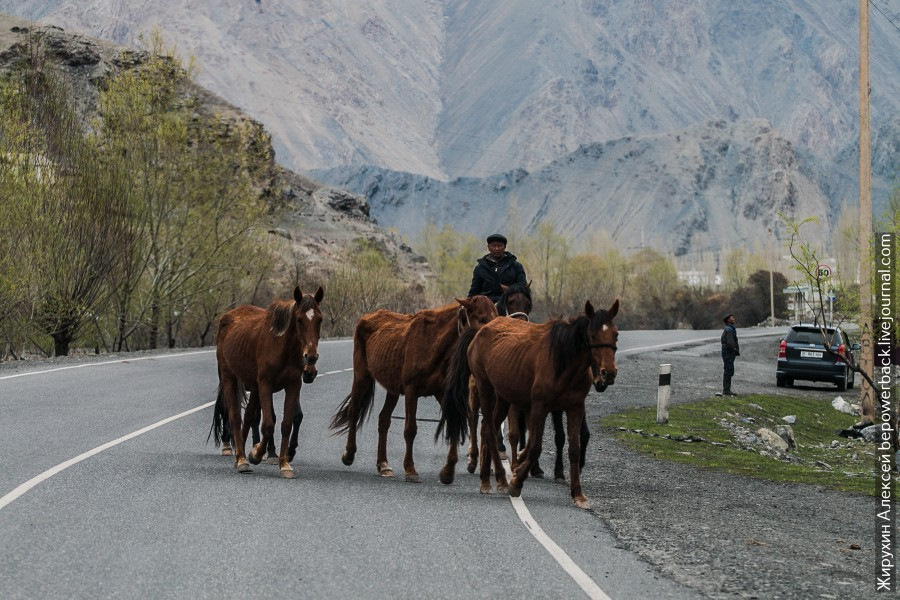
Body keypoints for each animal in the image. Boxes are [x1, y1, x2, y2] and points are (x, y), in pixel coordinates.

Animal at [209, 286, 326, 478]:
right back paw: (241, 458)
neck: (282, 348)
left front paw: (284, 463)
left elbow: (287, 422)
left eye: (320, 319)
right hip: (229, 378)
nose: (311, 358)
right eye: (299, 320)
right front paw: (257, 454)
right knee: (234, 416)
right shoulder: (265, 385)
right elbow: (269, 423)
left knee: (249, 416)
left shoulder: (293, 385)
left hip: (253, 387)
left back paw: (241, 455)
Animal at [332, 296, 500, 482]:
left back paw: (383, 464)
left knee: (384, 419)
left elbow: (453, 425)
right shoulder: (411, 391)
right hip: (362, 376)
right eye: (482, 318)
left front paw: (448, 471)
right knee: (354, 411)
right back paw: (349, 454)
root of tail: (367, 317)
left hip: (393, 389)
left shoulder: (442, 393)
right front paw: (410, 469)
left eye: (496, 315)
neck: (432, 343)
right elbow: (410, 430)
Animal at [442, 298, 620, 506]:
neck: (563, 362)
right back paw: (501, 478)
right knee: (489, 431)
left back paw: (487, 480)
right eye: (592, 335)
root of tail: (480, 330)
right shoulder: (539, 407)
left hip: (503, 398)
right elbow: (535, 447)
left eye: (616, 335)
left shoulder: (575, 407)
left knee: (487, 429)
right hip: (485, 390)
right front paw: (516, 481)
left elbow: (574, 449)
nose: (608, 373)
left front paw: (578, 494)